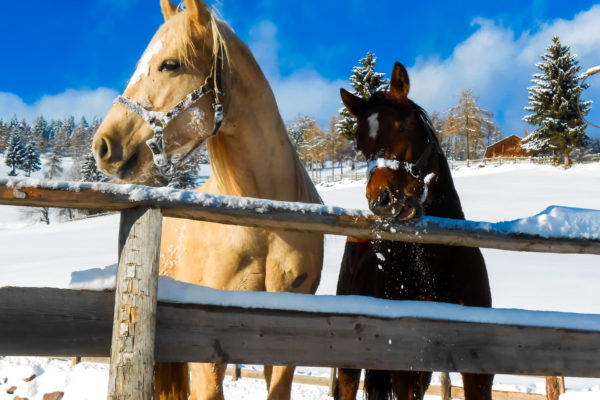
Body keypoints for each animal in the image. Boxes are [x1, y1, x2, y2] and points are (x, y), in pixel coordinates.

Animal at [332, 62, 492, 400]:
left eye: (402, 127)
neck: (438, 268)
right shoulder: (403, 367)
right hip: (352, 361)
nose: (381, 199)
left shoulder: (478, 370)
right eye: (359, 145)